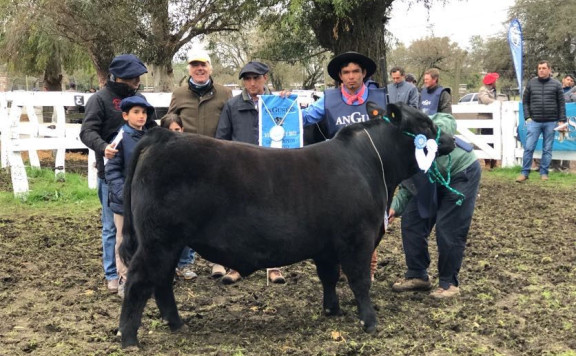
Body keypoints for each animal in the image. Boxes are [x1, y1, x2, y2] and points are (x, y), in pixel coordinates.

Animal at [120, 101, 454, 346]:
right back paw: (129, 339)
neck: (370, 164)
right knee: (139, 280)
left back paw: (177, 324)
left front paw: (332, 310)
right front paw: (370, 322)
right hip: (158, 240)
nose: (451, 139)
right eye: (424, 123)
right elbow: (360, 281)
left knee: (161, 281)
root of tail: (165, 136)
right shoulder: (357, 238)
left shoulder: (327, 246)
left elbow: (329, 277)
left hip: (169, 242)